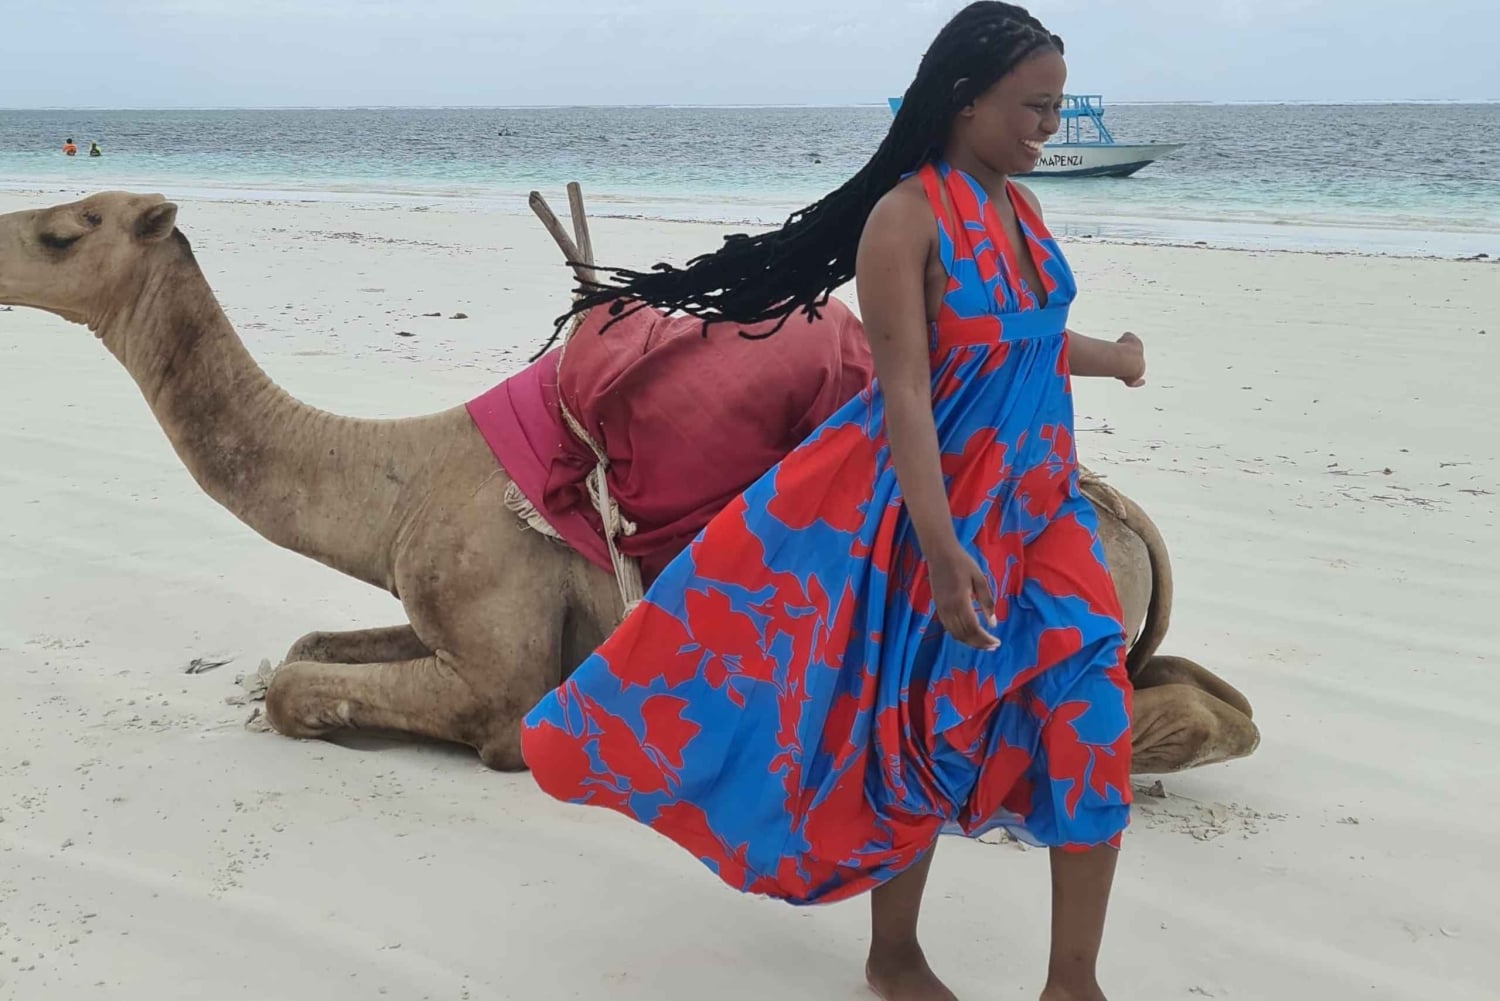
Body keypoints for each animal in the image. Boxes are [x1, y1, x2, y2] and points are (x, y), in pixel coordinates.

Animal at [0, 189, 1260, 778]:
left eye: (67, 231)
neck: (405, 477)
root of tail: (1124, 517)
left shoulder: (496, 658)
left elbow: (309, 687)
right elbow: (308, 649)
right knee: (1208, 697)